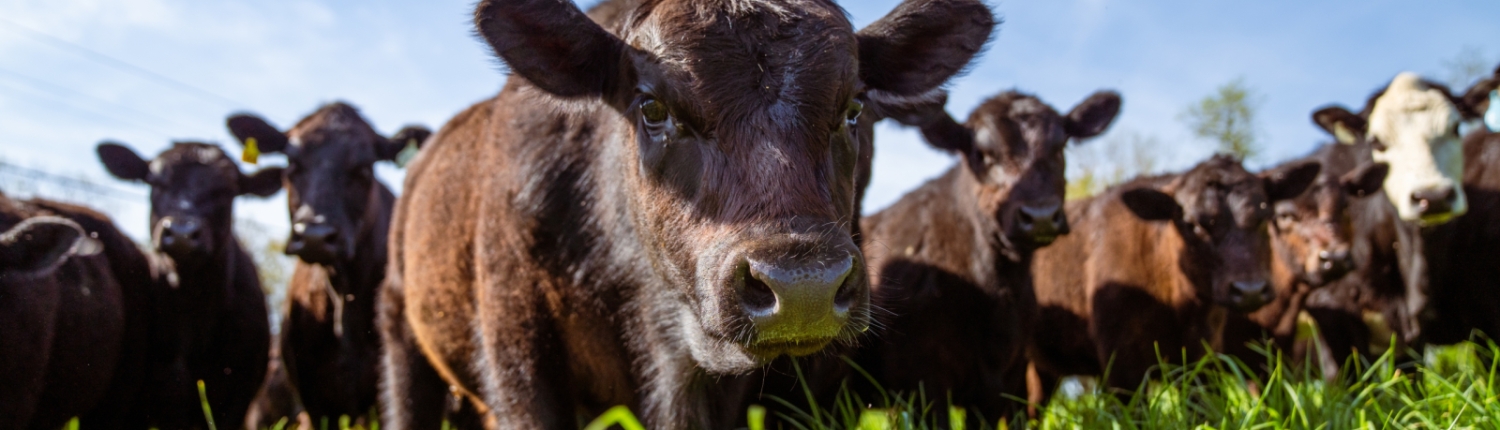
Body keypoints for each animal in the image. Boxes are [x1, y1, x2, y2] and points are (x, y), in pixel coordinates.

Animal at [1025, 155, 1320, 405]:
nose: (1250, 291)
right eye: (1194, 224)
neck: (1177, 306)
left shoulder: (1203, 361)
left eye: (1264, 215)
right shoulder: (1121, 364)